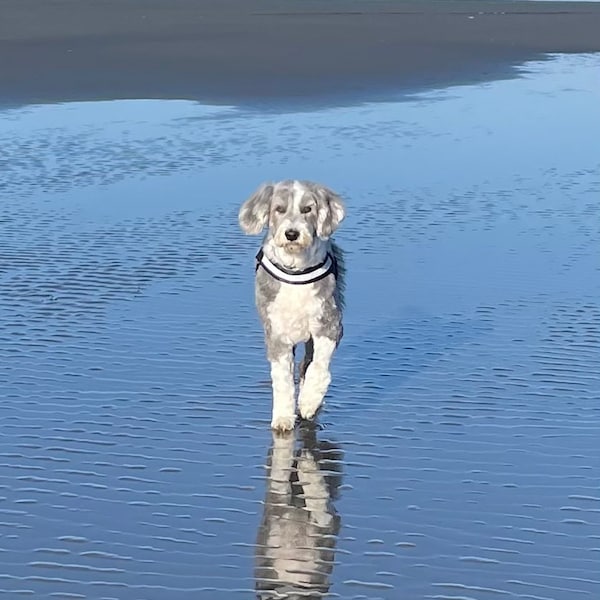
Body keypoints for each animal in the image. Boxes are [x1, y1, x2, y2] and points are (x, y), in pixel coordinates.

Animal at [238, 179, 344, 432]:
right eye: (279, 209)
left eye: (307, 209)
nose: (292, 234)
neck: (296, 269)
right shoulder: (276, 333)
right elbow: (282, 380)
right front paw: (283, 418)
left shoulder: (329, 323)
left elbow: (319, 367)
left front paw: (309, 401)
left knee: (308, 364)